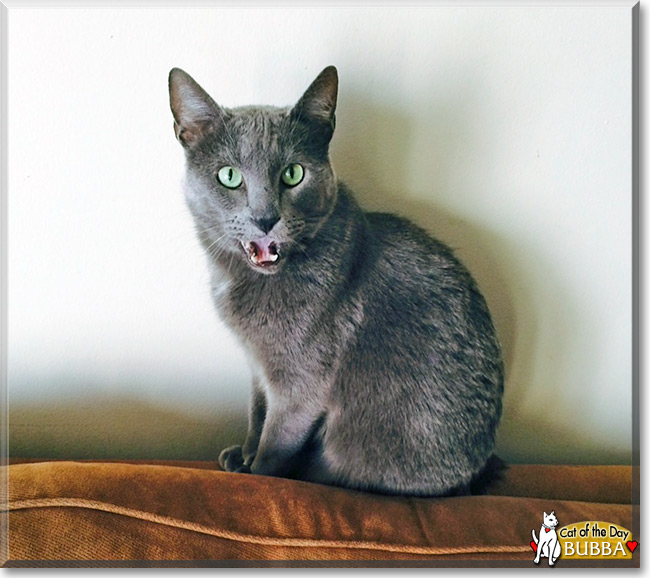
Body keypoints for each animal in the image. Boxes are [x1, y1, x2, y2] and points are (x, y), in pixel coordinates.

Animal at [167, 64, 502, 496]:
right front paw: (241, 456)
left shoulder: (301, 384)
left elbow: (274, 443)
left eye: (293, 174)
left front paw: (255, 473)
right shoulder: (258, 367)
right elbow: (256, 414)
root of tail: (478, 472)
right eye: (228, 176)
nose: (265, 218)